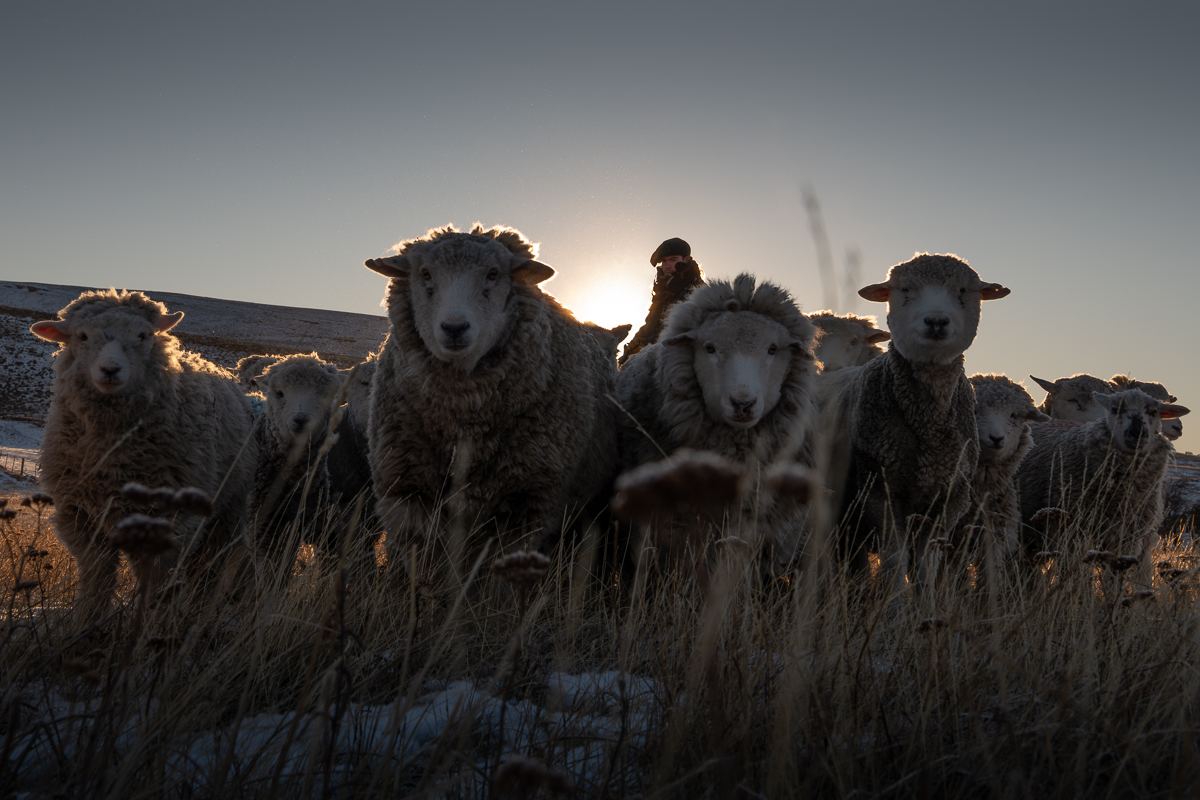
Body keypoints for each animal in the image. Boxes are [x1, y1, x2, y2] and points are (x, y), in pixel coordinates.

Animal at [30, 289, 257, 617]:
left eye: (142, 335)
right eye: (82, 336)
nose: (110, 370)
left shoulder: (172, 520)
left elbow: (156, 582)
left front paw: (150, 621)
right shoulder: (82, 519)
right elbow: (96, 580)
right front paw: (86, 621)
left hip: (228, 509)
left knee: (209, 568)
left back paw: (199, 612)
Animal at [362, 223, 620, 573]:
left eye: (493, 274)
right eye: (425, 273)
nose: (454, 328)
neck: (464, 419)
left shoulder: (525, 504)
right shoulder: (408, 493)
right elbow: (424, 568)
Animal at [829, 253, 1011, 590]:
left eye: (963, 290)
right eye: (905, 289)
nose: (936, 321)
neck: (928, 425)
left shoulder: (951, 498)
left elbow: (927, 563)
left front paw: (924, 601)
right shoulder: (881, 491)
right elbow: (894, 559)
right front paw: (895, 604)